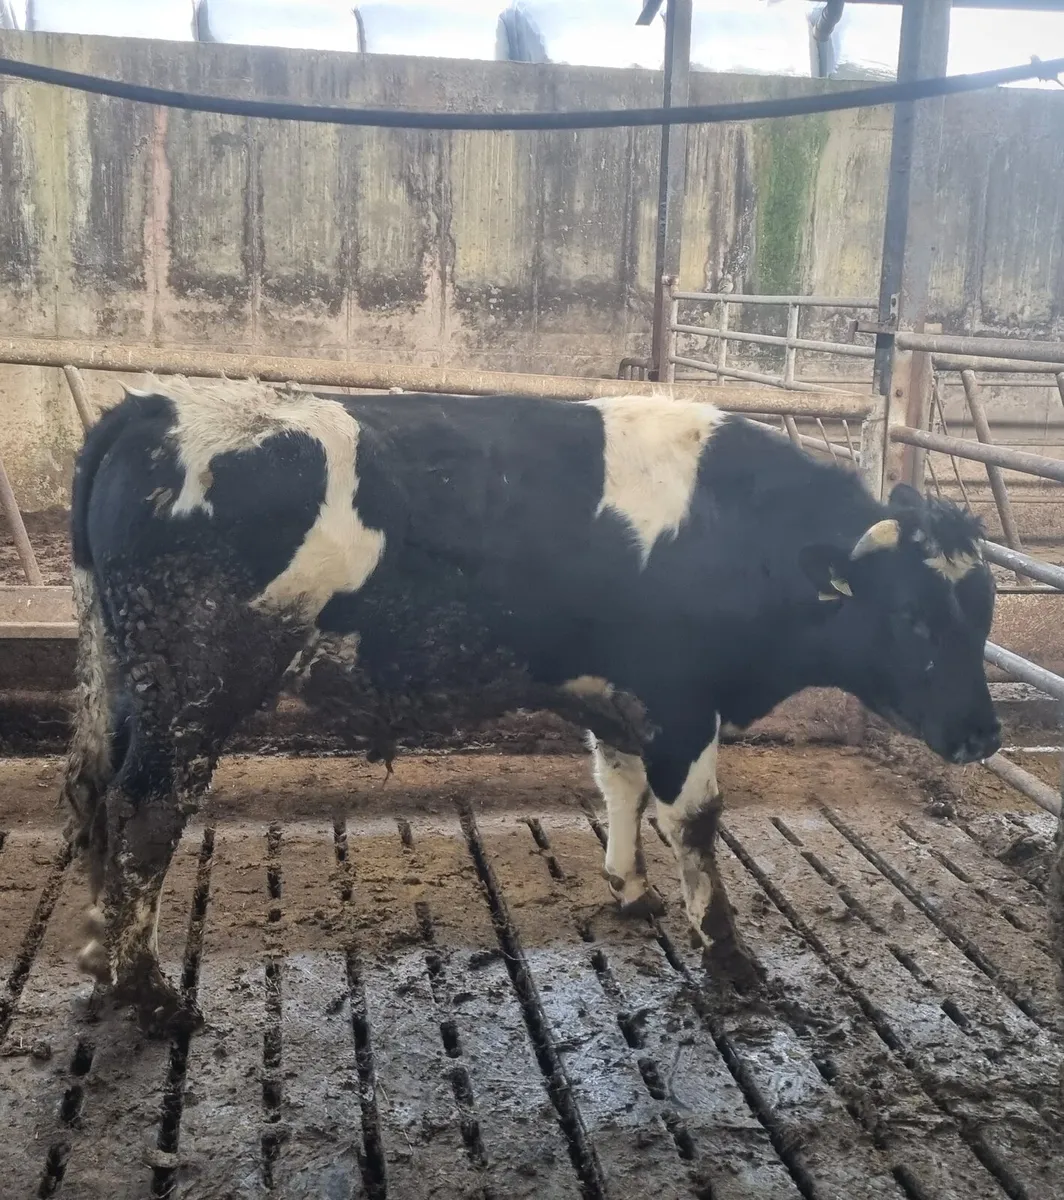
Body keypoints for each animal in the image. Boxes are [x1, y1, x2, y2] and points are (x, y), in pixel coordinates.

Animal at [61, 377, 1000, 1035]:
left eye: (985, 611)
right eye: (914, 618)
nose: (983, 733)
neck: (731, 529)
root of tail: (154, 406)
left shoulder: (620, 693)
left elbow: (620, 783)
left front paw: (631, 887)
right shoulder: (682, 694)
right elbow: (695, 820)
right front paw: (729, 956)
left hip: (120, 675)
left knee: (96, 794)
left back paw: (104, 956)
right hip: (194, 683)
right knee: (146, 811)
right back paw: (152, 996)